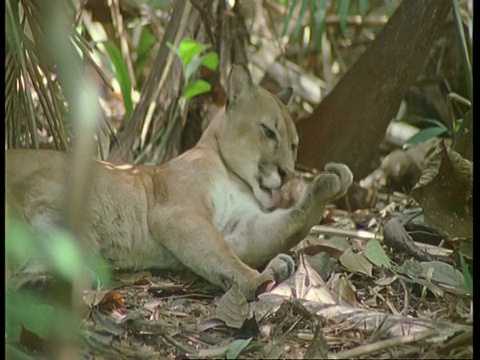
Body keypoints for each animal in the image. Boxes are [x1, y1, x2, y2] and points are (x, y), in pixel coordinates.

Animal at [4, 64, 352, 300]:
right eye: (268, 132)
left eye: (294, 144)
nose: (288, 173)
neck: (234, 178)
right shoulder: (179, 213)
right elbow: (222, 255)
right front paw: (258, 280)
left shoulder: (239, 228)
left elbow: (288, 226)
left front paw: (327, 185)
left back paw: (44, 285)